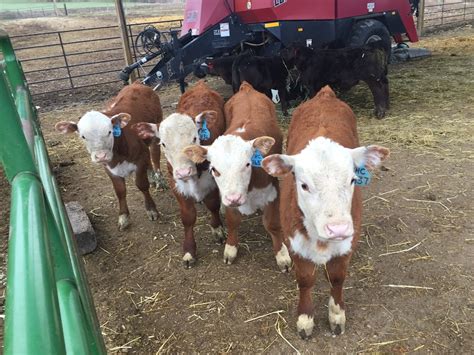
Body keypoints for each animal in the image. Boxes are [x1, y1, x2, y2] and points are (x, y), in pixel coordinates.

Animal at [55, 82, 163, 231]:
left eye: (109, 131)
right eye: (83, 136)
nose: (101, 156)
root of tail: (136, 84)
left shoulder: (139, 160)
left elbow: (142, 185)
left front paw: (151, 210)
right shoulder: (109, 168)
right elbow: (120, 191)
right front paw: (124, 217)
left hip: (156, 128)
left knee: (155, 154)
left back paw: (158, 179)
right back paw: (152, 175)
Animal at [132, 80, 227, 268]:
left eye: (195, 138)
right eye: (163, 144)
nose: (184, 171)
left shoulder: (212, 179)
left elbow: (213, 204)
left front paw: (217, 228)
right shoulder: (175, 182)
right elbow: (188, 217)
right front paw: (189, 250)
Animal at [184, 82, 292, 272]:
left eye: (247, 164)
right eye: (214, 169)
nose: (234, 198)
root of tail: (246, 88)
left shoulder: (272, 190)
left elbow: (272, 223)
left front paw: (282, 254)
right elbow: (233, 220)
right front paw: (231, 248)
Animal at [262, 86, 388, 340]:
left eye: (353, 179)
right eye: (303, 185)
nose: (338, 228)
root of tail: (325, 94)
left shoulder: (345, 245)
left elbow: (337, 278)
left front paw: (336, 316)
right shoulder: (296, 244)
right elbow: (305, 280)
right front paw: (305, 319)